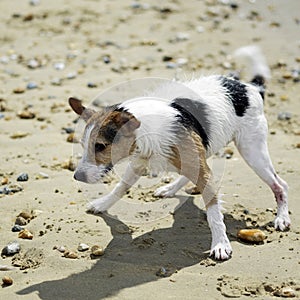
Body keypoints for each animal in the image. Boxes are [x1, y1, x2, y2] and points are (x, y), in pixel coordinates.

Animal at [68, 46, 290, 260]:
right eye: (83, 144)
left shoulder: (198, 168)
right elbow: (120, 188)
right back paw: (170, 188)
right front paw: (102, 204)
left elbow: (213, 213)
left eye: (100, 146)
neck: (146, 129)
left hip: (252, 151)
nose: (77, 177)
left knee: (280, 185)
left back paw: (282, 217)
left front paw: (220, 244)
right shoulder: (139, 163)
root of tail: (251, 87)